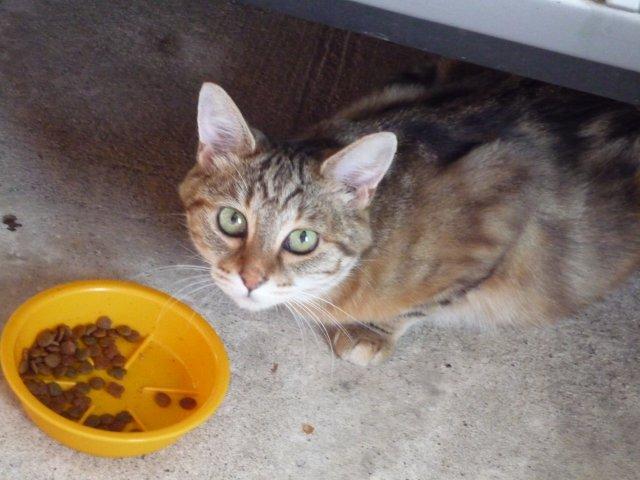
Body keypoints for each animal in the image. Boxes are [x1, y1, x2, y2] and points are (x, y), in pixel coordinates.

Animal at [180, 64, 640, 366]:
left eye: (302, 240)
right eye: (232, 220)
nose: (250, 279)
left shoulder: (505, 202)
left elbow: (424, 303)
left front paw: (373, 330)